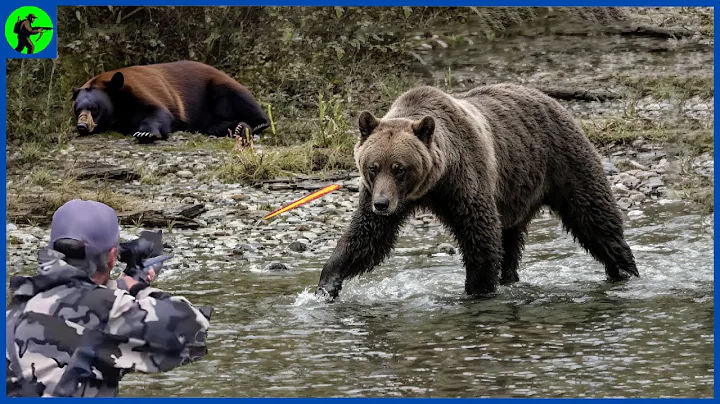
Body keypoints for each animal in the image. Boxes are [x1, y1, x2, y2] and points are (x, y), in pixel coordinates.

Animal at [71, 60, 270, 144]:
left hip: (217, 86)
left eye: (93, 108)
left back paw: (257, 123)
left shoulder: (140, 91)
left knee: (240, 99)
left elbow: (158, 112)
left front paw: (145, 133)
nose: (82, 126)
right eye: (78, 109)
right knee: (213, 126)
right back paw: (238, 128)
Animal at [315, 83, 639, 301]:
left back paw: (625, 270)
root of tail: (551, 100)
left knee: (594, 216)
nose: (382, 204)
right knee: (511, 240)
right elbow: (367, 237)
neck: (432, 184)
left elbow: (479, 231)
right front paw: (326, 284)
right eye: (373, 166)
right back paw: (511, 278)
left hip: (563, 160)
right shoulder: (387, 197)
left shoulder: (463, 177)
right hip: (515, 190)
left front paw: (477, 289)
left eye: (400, 168)